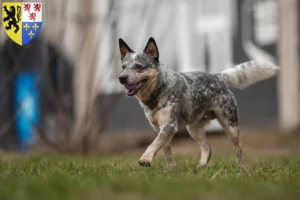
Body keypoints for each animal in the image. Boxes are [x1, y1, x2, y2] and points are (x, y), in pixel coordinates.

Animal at [117, 37, 278, 167]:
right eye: (123, 67)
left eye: (139, 66)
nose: (121, 78)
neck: (157, 92)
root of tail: (218, 76)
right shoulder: (158, 127)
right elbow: (164, 148)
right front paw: (171, 167)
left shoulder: (169, 125)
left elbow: (153, 144)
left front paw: (145, 159)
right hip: (193, 128)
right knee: (207, 148)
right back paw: (201, 167)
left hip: (231, 125)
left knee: (238, 148)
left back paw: (241, 167)